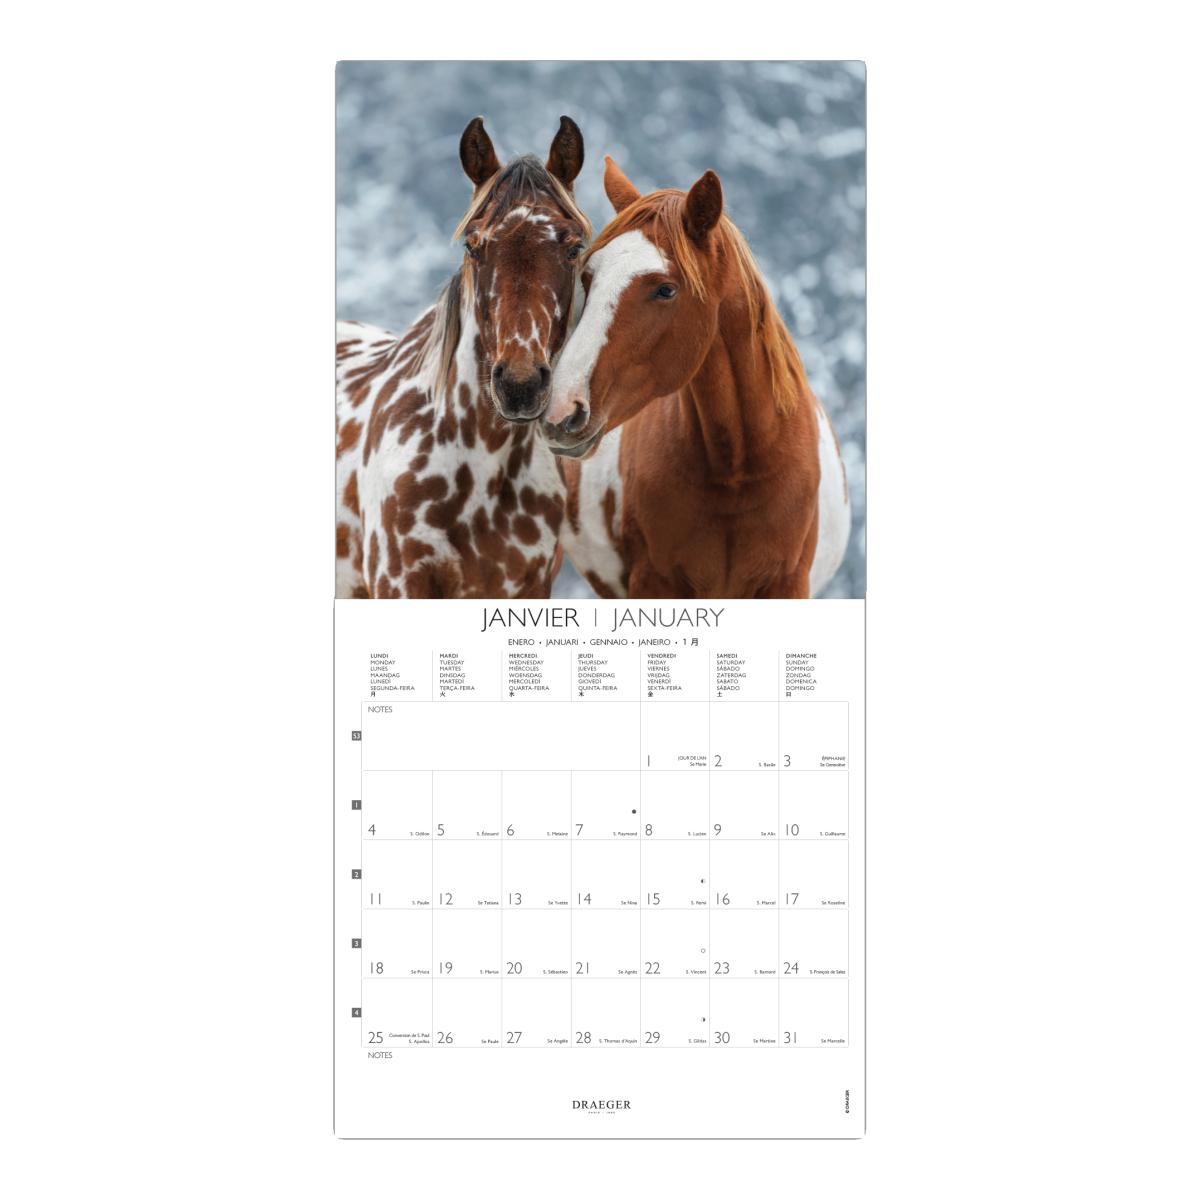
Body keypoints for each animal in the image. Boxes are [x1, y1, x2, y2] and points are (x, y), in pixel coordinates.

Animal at [541, 155, 850, 600]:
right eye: (588, 277)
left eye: (666, 290)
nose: (562, 410)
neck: (737, 472)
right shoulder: (654, 582)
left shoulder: (787, 585)